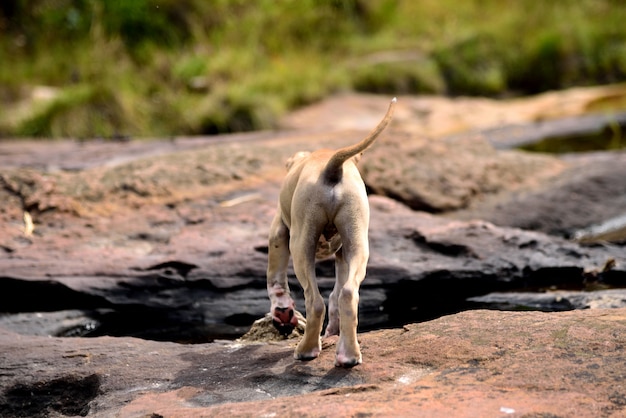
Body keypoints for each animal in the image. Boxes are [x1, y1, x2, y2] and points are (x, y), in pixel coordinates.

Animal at [266, 97, 394, 366]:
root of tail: (332, 165)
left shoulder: (279, 233)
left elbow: (276, 279)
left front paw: (282, 312)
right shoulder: (343, 252)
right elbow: (336, 292)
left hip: (301, 244)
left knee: (315, 301)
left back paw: (306, 350)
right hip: (357, 238)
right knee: (347, 293)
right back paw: (348, 354)